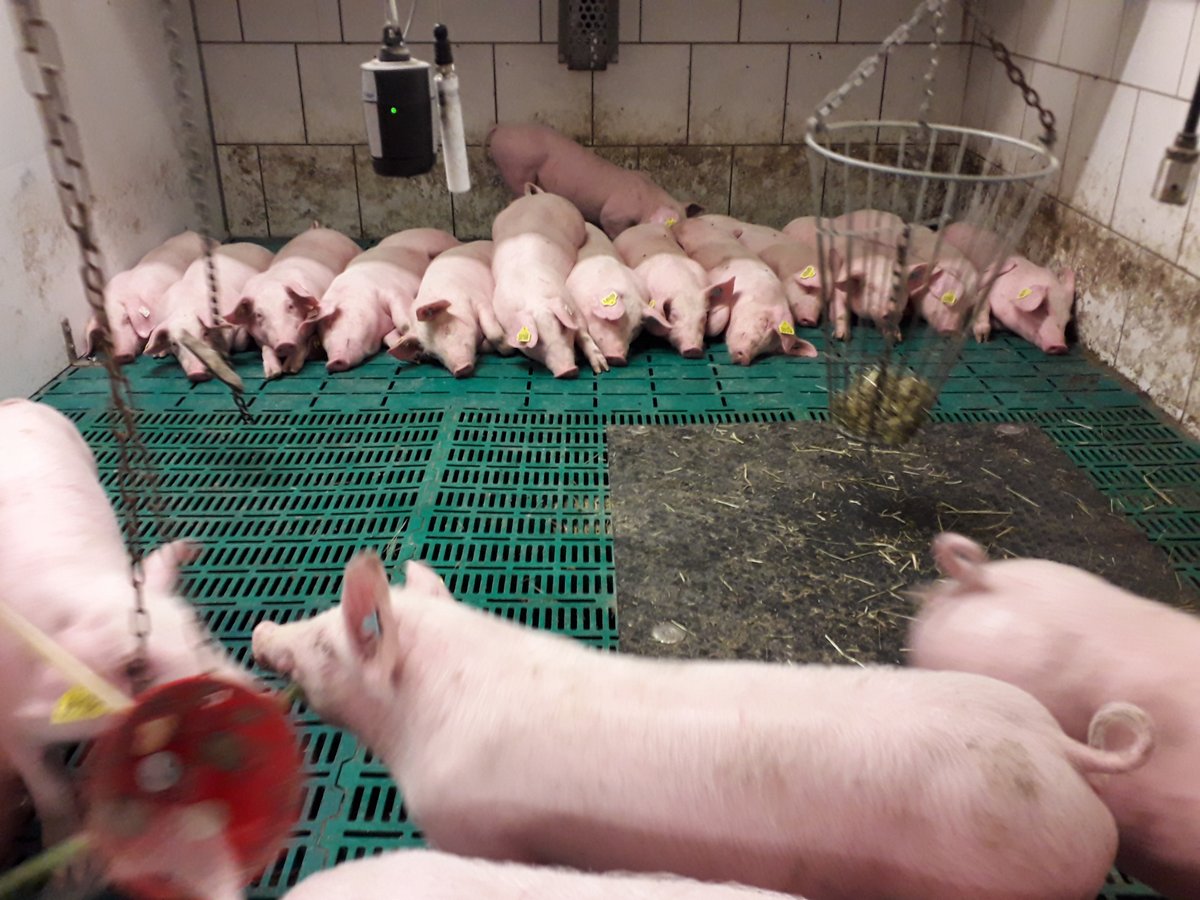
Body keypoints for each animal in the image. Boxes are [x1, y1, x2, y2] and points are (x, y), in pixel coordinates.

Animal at [0, 399, 253, 883]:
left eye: (199, 629)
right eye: (135, 668)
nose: (258, 695)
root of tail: (13, 402)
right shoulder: (12, 727)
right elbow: (49, 789)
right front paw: (71, 871)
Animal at [143, 243, 274, 381]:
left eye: (205, 333)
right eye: (174, 343)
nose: (196, 373)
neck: (186, 306)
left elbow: (241, 342)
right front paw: (158, 355)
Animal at [224, 226, 361, 379]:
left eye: (290, 306)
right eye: (259, 315)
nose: (284, 343)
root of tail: (319, 228)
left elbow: (302, 342)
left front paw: (290, 370)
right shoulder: (257, 337)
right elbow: (266, 348)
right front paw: (273, 374)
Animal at [315, 234, 441, 372]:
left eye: (332, 321)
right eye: (322, 340)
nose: (331, 363)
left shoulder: (394, 291)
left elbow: (402, 320)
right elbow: (388, 338)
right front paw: (412, 355)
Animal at [491, 186, 608, 377]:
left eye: (561, 326)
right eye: (537, 341)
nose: (568, 370)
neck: (532, 296)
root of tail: (532, 198)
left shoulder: (570, 302)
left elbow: (583, 332)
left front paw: (601, 368)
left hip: (574, 214)